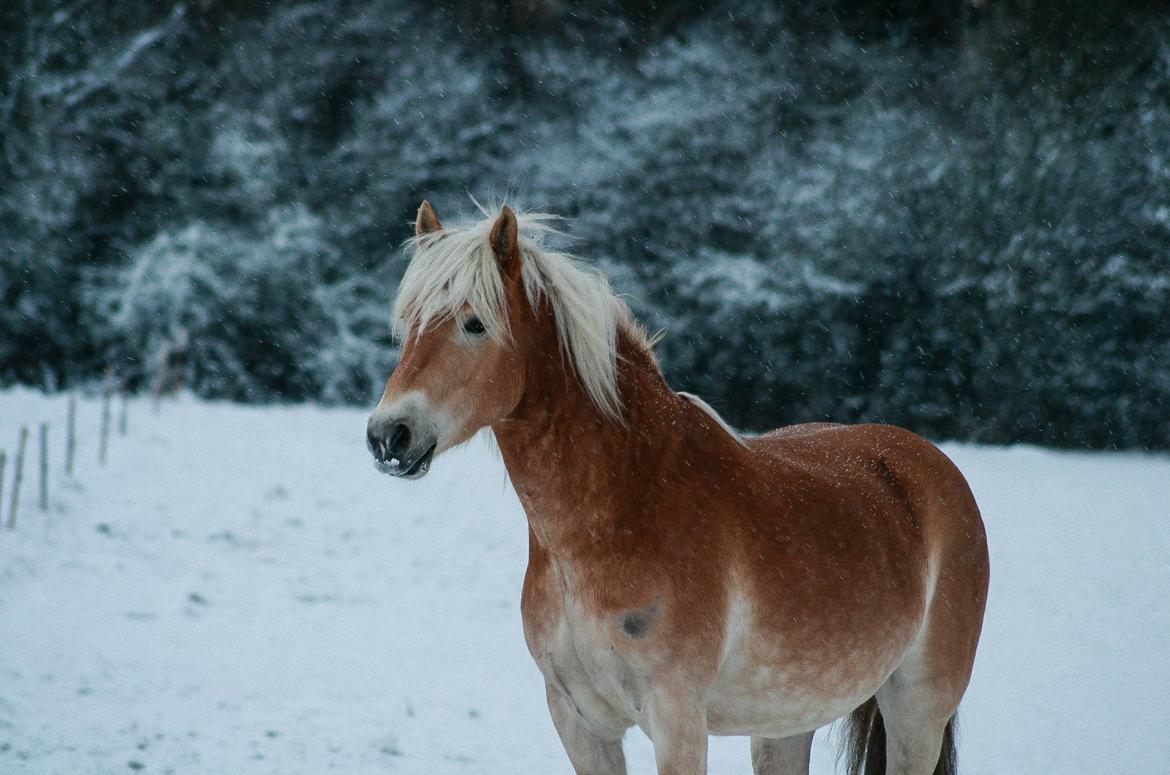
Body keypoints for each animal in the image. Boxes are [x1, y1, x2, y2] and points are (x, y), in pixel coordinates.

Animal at [365, 201, 987, 775]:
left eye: (473, 323)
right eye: (408, 325)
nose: (389, 435)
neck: (624, 508)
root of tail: (934, 467)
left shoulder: (677, 717)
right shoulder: (578, 721)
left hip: (916, 712)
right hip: (787, 723)